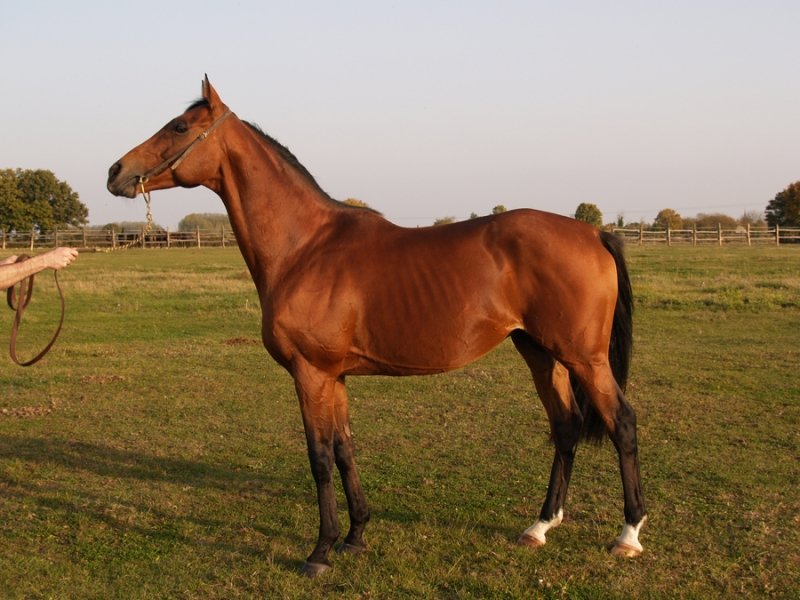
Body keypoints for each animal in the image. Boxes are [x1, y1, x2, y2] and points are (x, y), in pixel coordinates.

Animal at [107, 76, 646, 576]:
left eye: (179, 127)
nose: (116, 172)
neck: (305, 247)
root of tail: (594, 233)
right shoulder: (335, 376)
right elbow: (345, 450)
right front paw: (355, 537)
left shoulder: (310, 373)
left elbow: (320, 458)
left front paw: (320, 552)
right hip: (540, 353)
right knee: (566, 427)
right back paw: (540, 526)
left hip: (585, 359)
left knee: (621, 423)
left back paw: (628, 535)